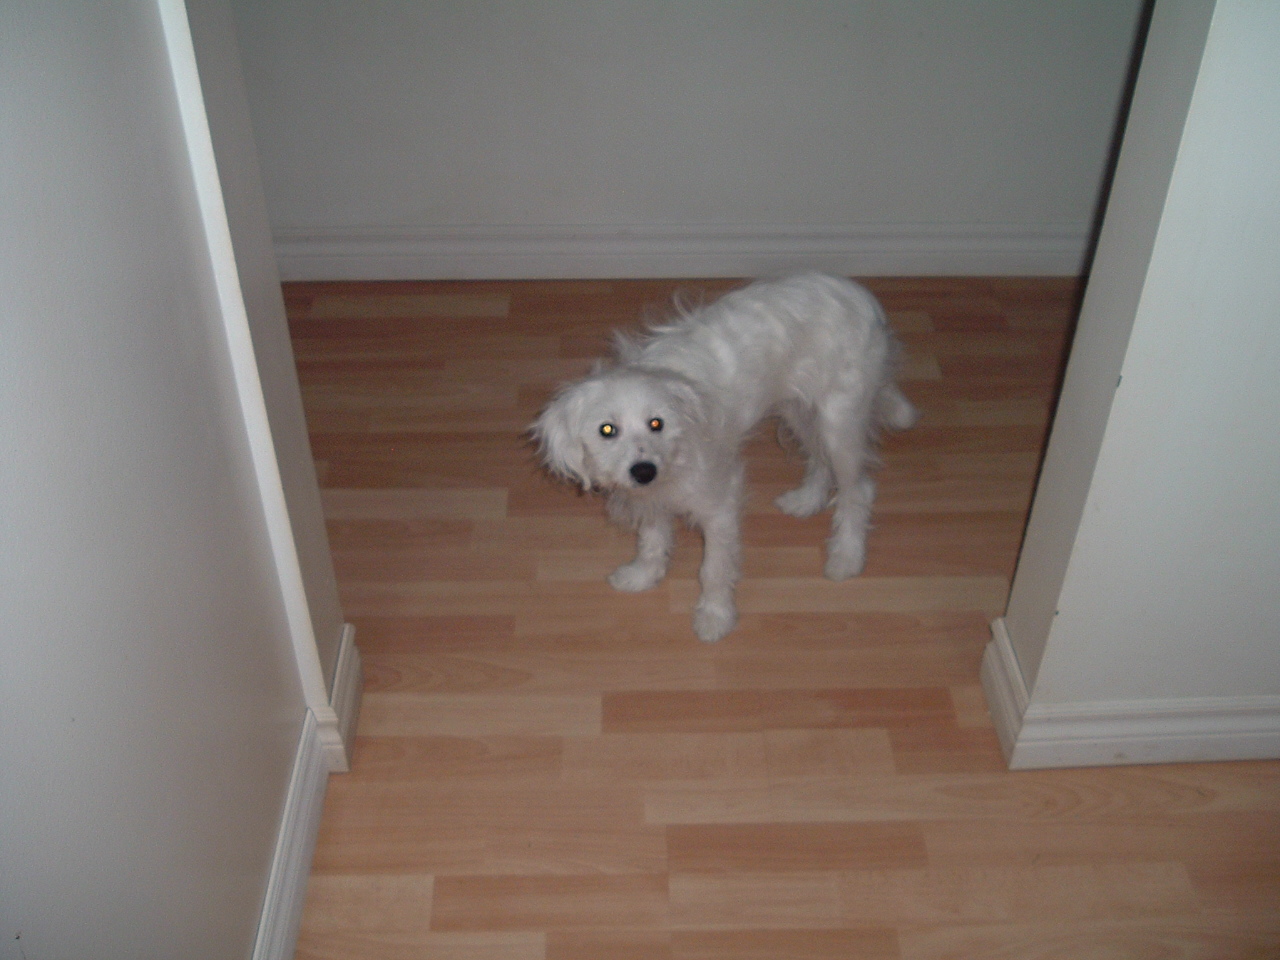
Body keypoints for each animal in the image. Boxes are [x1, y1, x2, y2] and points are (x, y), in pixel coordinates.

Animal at [531, 273, 917, 642]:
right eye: (607, 430)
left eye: (657, 423)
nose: (644, 471)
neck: (676, 452)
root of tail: (860, 295)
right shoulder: (655, 495)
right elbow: (653, 539)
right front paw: (643, 575)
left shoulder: (719, 506)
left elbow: (713, 570)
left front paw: (715, 618)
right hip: (801, 410)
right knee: (820, 460)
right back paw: (807, 501)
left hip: (839, 421)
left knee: (857, 489)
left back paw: (846, 556)